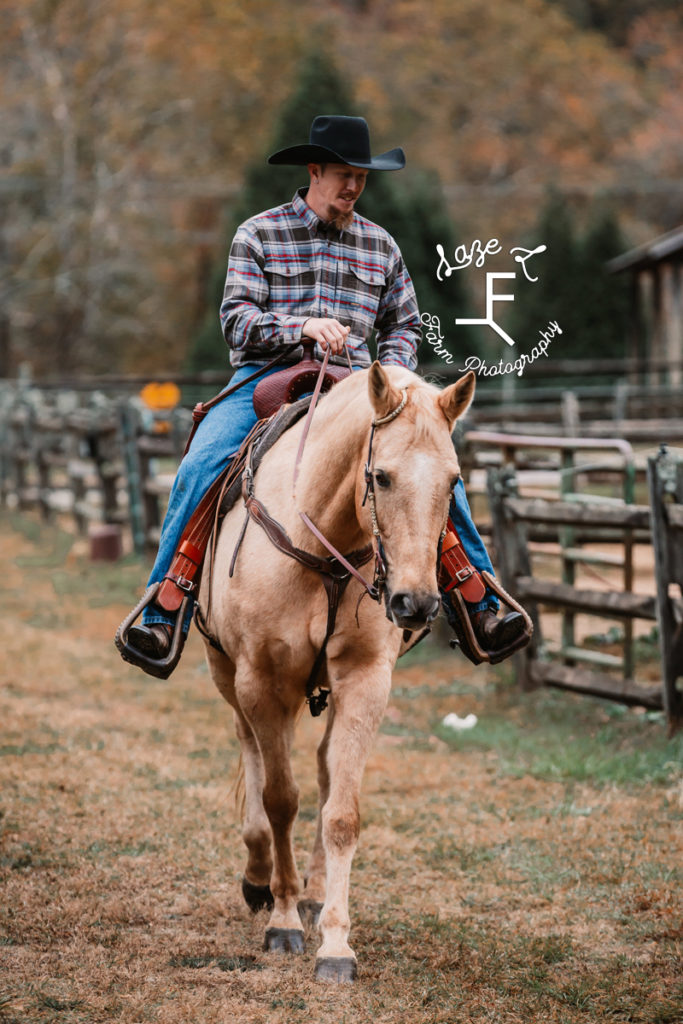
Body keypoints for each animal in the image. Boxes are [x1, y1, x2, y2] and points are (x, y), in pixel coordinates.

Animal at [197, 362, 475, 983]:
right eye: (381, 476)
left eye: (453, 482)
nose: (415, 603)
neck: (323, 546)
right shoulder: (261, 680)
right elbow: (280, 799)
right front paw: (282, 921)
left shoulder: (366, 679)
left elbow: (341, 813)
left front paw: (336, 945)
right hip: (228, 674)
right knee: (249, 749)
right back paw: (261, 877)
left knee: (324, 773)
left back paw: (315, 890)